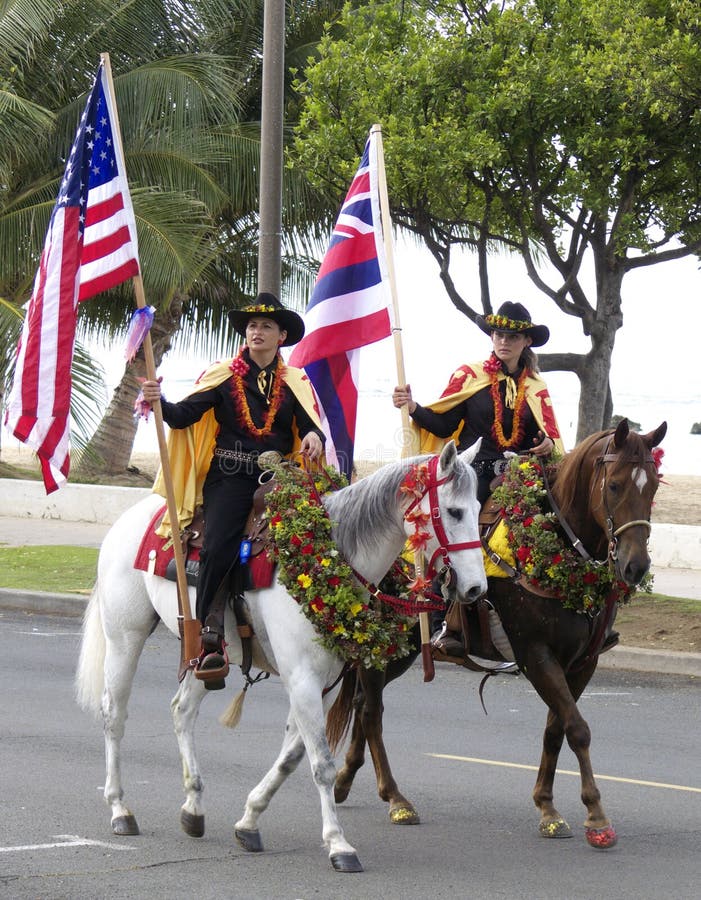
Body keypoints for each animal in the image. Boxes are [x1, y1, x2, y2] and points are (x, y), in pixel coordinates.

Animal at [74, 440, 484, 868]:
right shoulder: (302, 678)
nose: (475, 589)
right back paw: (120, 809)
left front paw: (249, 821)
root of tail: (136, 514)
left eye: (477, 509)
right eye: (453, 512)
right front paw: (338, 844)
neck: (332, 557)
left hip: (207, 656)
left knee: (182, 710)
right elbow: (321, 764)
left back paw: (193, 808)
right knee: (114, 714)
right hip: (125, 635)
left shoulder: (320, 684)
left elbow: (292, 757)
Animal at [328, 418, 668, 848]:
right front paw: (596, 817)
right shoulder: (536, 655)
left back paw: (345, 779)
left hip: (402, 651)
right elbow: (577, 729)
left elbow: (556, 729)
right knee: (372, 710)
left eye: (652, 486)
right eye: (615, 486)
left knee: (361, 703)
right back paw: (395, 798)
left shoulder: (581, 664)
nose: (635, 567)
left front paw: (547, 806)